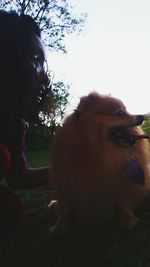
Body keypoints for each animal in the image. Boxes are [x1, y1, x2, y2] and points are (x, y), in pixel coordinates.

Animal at [49, 93, 150, 236]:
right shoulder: (66, 185)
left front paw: (128, 219)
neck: (99, 154)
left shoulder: (120, 181)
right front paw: (59, 227)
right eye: (120, 113)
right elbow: (64, 210)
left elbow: (123, 202)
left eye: (126, 110)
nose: (141, 116)